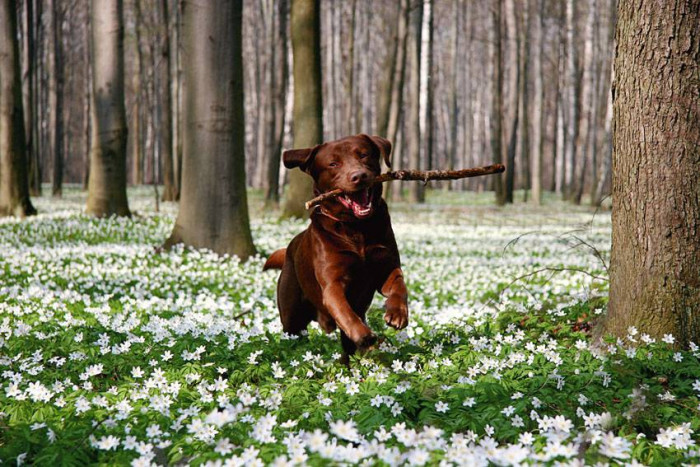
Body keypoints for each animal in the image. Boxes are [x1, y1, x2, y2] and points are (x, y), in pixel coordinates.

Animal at [266, 133, 410, 360]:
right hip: (292, 318)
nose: (359, 176)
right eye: (333, 164)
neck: (356, 227)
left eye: (364, 155)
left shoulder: (386, 267)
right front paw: (364, 334)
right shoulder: (332, 284)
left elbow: (399, 286)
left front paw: (397, 313)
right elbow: (345, 311)